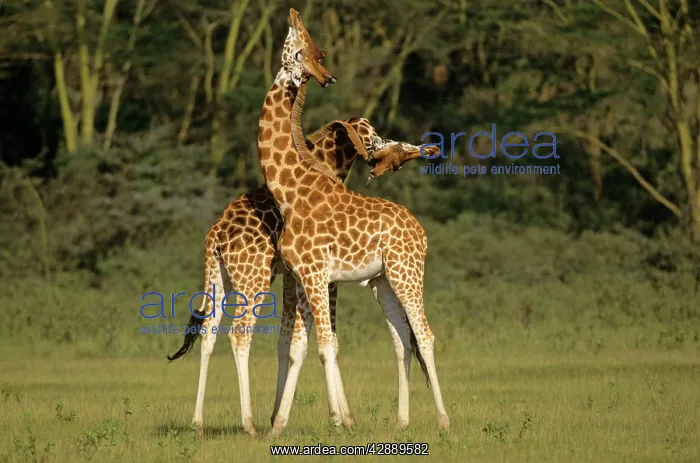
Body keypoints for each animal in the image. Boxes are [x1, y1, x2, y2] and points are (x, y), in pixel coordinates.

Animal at [167, 114, 431, 438]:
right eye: (372, 134)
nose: (382, 157)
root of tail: (214, 237)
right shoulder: (320, 275)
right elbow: (326, 340)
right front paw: (342, 417)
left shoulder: (292, 276)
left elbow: (287, 341)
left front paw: (278, 414)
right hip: (253, 278)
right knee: (240, 335)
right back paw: (248, 424)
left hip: (220, 278)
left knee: (208, 333)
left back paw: (199, 423)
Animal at [257, 9, 449, 436]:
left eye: (300, 41)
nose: (293, 13)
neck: (288, 192)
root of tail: (422, 233)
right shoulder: (303, 277)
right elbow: (300, 347)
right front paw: (278, 425)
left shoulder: (315, 275)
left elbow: (325, 346)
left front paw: (341, 424)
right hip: (383, 281)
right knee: (402, 340)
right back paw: (402, 422)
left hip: (407, 272)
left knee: (426, 335)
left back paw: (444, 422)